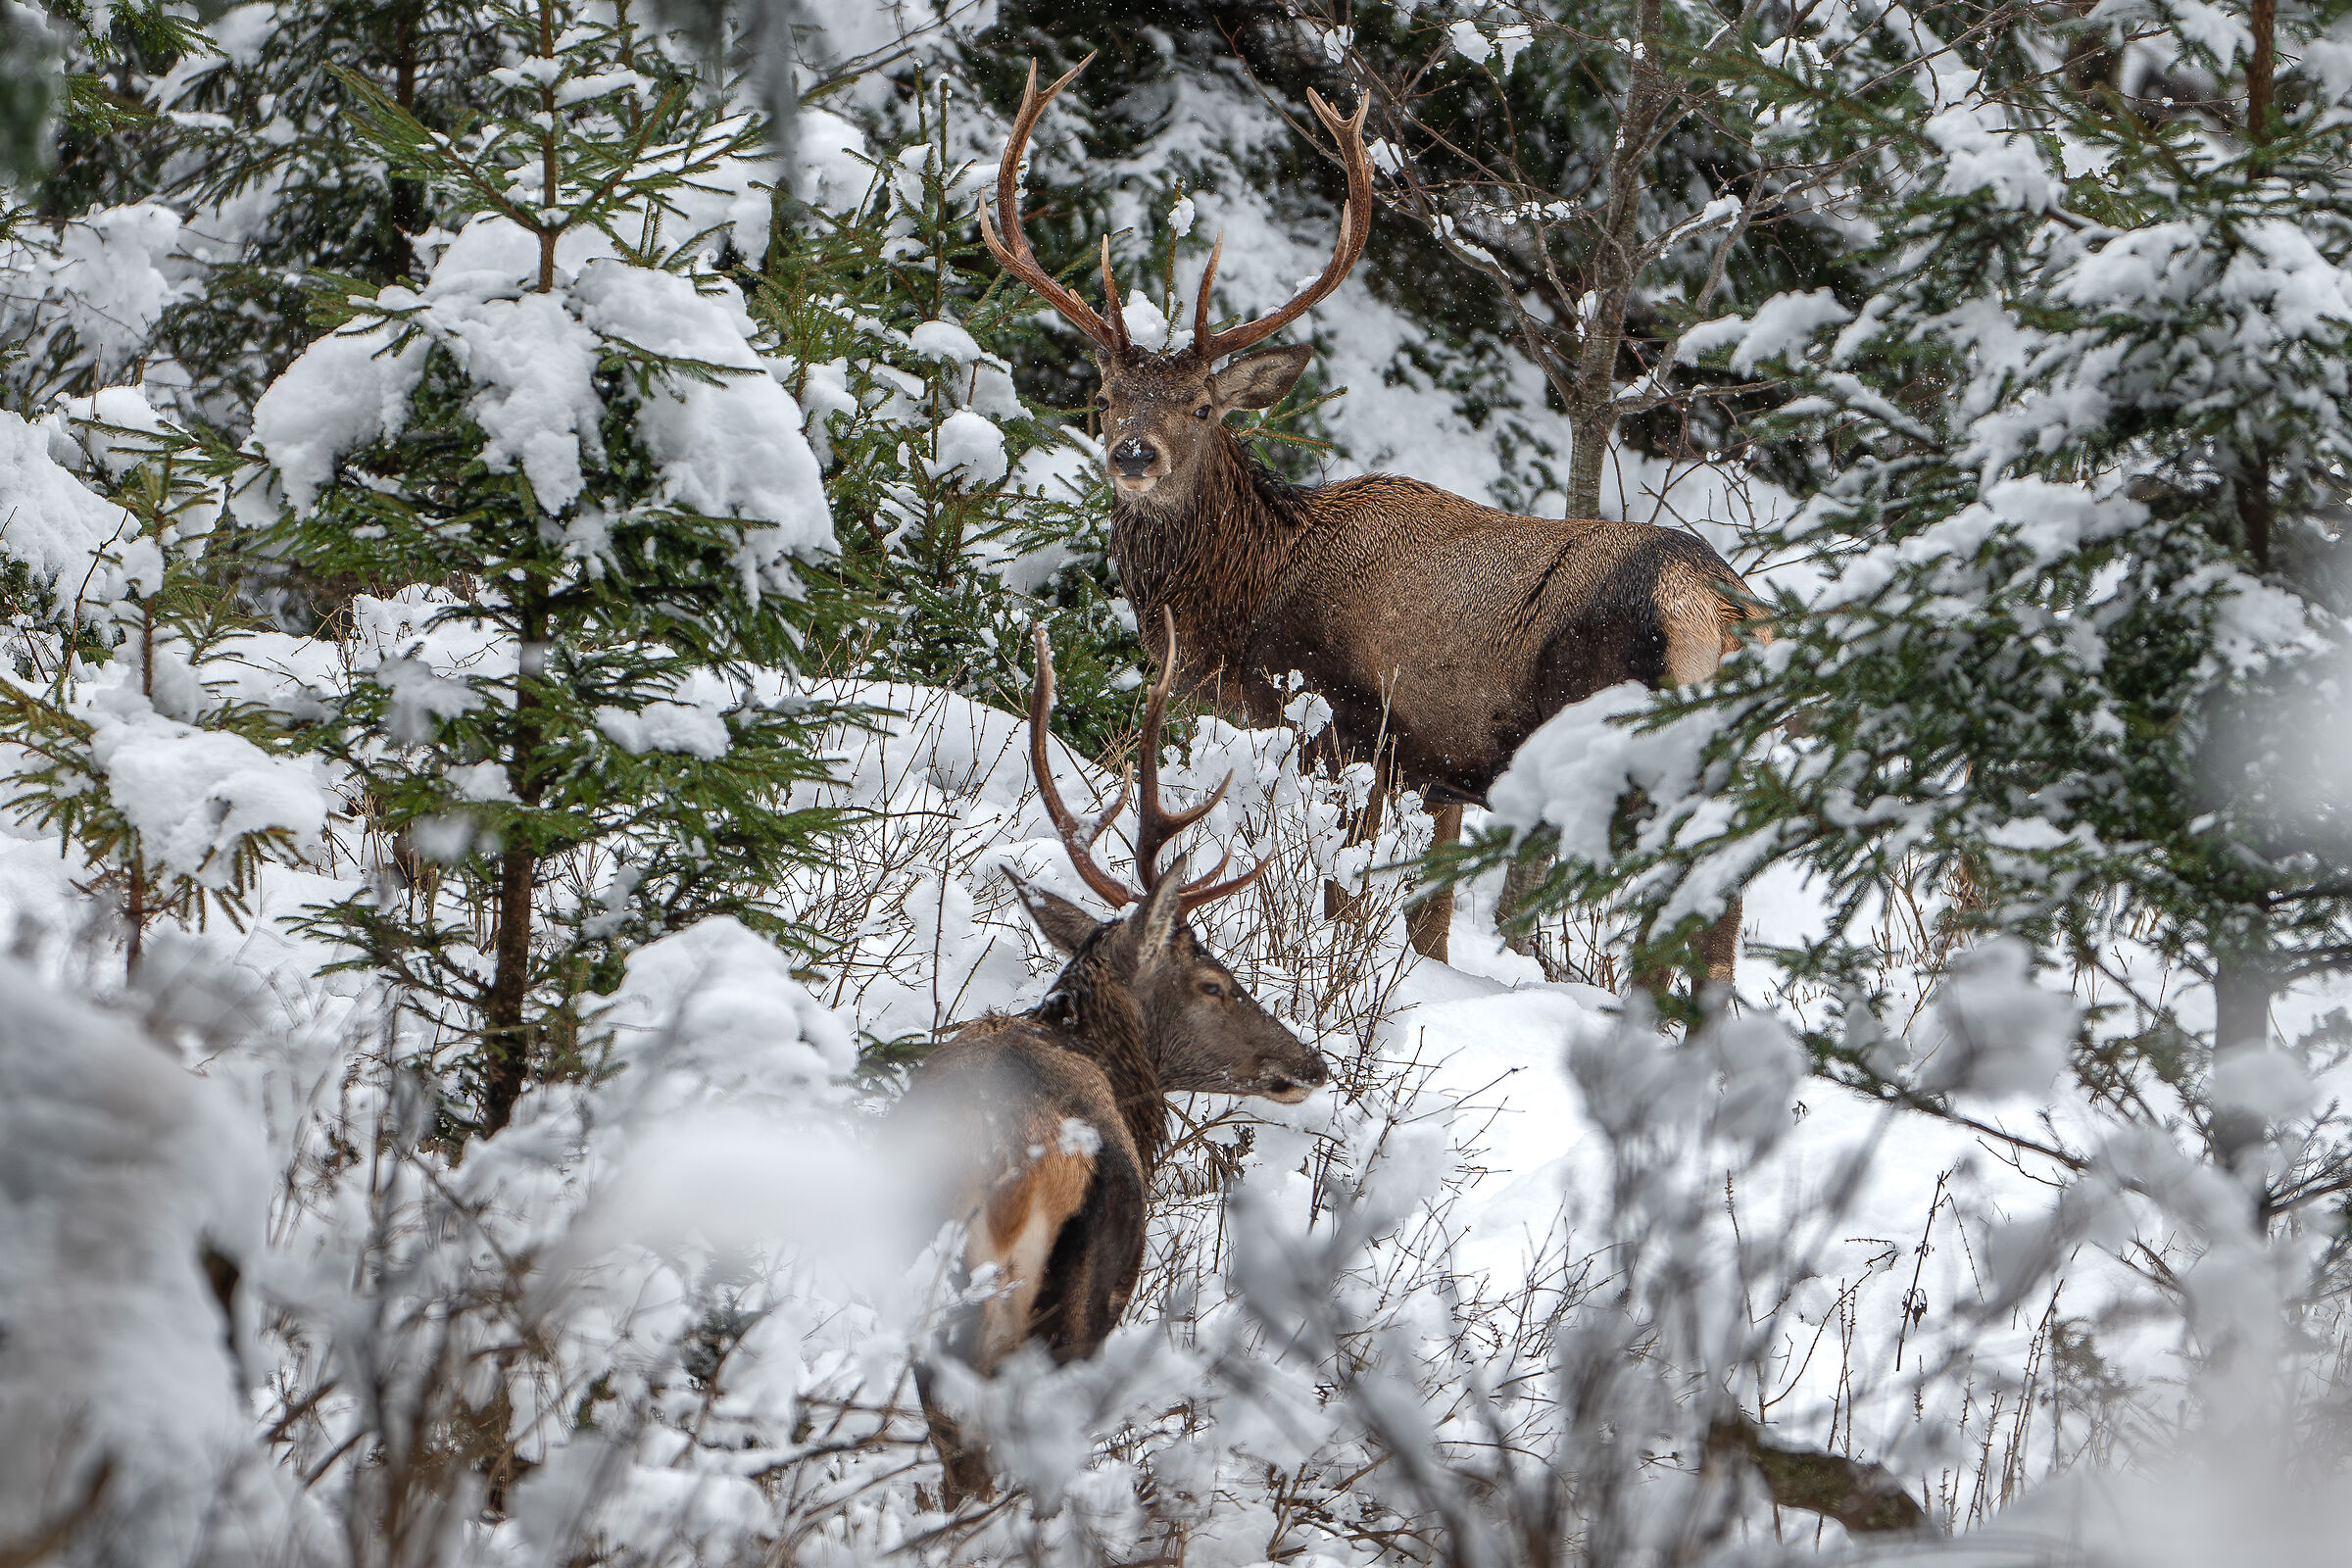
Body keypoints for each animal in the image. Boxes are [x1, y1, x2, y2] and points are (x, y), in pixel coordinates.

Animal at [980, 57, 1767, 980]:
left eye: (1204, 407)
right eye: (1104, 399)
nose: (1134, 456)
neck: (1250, 599)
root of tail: (1715, 606)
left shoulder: (1348, 726)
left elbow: (1344, 901)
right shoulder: (1442, 772)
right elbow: (1431, 927)